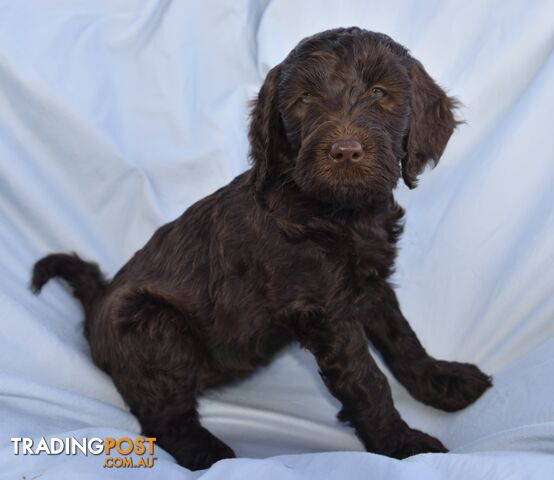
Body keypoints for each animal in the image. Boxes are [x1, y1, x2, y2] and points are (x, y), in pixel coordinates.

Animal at [31, 28, 488, 470]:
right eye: (305, 99)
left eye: (379, 92)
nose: (345, 152)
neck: (338, 213)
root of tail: (98, 306)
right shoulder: (323, 310)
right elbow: (367, 380)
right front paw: (404, 445)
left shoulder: (369, 284)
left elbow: (402, 338)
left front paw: (440, 381)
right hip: (154, 324)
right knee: (161, 414)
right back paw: (207, 453)